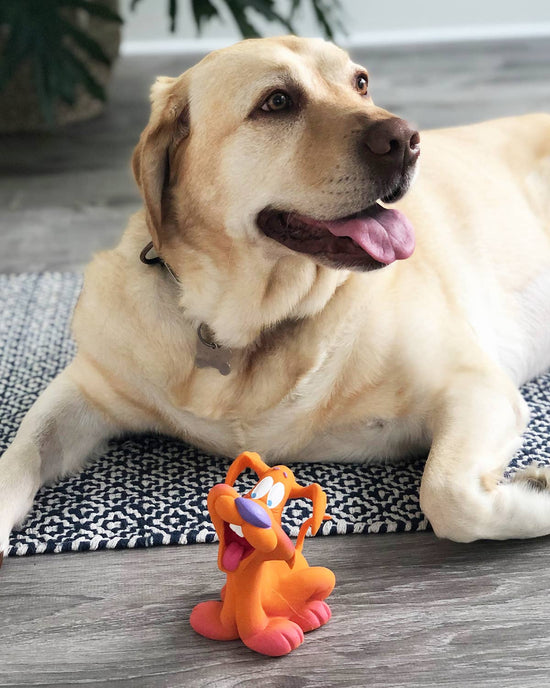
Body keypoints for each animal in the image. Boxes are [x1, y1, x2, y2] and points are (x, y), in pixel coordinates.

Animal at [2, 35, 550, 566]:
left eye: (361, 83)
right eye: (277, 102)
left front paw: (537, 490)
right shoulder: (87, 386)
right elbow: (19, 454)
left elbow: (446, 496)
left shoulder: (475, 386)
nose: (407, 139)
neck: (247, 326)